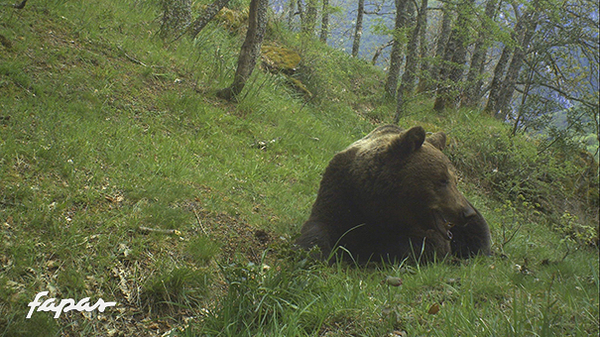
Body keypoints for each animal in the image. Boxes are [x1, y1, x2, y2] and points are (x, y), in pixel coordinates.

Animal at [296, 124, 492, 262]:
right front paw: (316, 254)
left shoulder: (424, 231)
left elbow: (424, 247)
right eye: (442, 179)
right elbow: (318, 227)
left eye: (455, 180)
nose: (467, 213)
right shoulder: (342, 191)